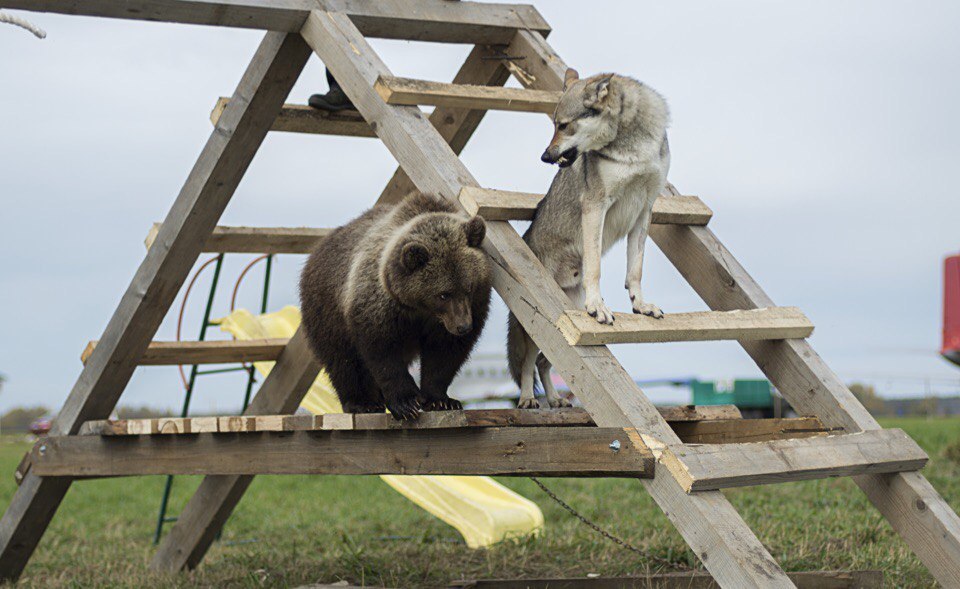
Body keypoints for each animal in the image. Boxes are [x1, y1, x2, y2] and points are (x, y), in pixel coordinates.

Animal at [300, 192, 492, 418]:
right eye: (443, 294)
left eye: (469, 287)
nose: (463, 326)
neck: (420, 308)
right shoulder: (378, 304)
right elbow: (383, 351)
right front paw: (406, 403)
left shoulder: (469, 307)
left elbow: (444, 353)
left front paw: (441, 400)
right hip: (326, 306)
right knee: (342, 358)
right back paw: (362, 402)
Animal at [506, 69, 672, 408]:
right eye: (554, 124)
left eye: (563, 125)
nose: (545, 156)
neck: (632, 144)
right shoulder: (596, 205)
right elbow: (595, 267)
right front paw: (598, 307)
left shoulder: (645, 210)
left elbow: (635, 270)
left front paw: (641, 306)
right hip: (534, 325)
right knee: (528, 364)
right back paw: (529, 400)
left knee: (545, 362)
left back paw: (555, 400)